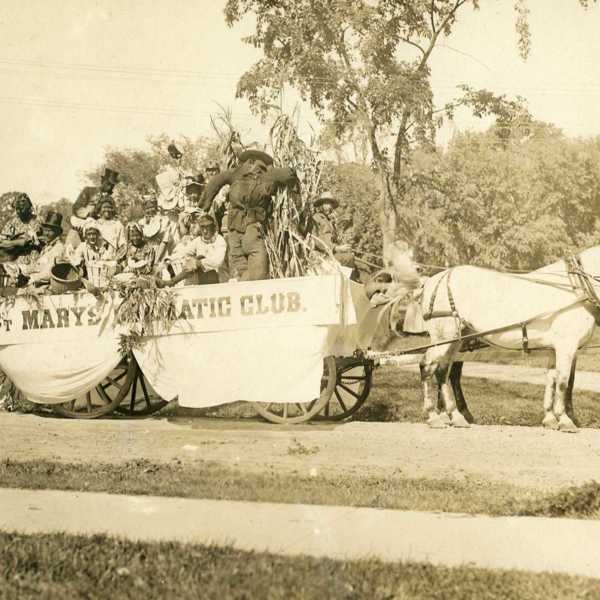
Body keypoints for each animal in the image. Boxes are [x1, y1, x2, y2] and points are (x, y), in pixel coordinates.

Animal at [418, 248, 600, 432]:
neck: (576, 287)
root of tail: (435, 280)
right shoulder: (567, 346)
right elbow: (564, 382)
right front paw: (565, 420)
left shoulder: (555, 348)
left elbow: (552, 381)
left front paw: (550, 419)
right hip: (444, 338)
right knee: (427, 367)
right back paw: (434, 416)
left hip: (455, 341)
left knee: (443, 371)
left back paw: (456, 417)